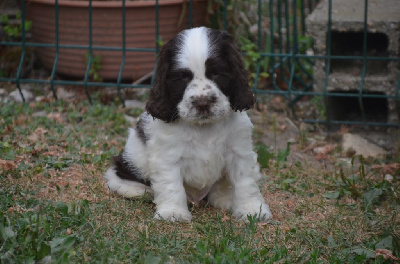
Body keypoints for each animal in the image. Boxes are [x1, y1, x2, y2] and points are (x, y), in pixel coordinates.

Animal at [103, 26, 272, 222]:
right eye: (183, 77)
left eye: (216, 73)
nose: (202, 103)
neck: (204, 127)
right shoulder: (167, 157)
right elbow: (171, 185)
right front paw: (173, 212)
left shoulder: (239, 151)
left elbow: (246, 182)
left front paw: (252, 210)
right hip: (130, 161)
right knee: (118, 178)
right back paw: (141, 190)